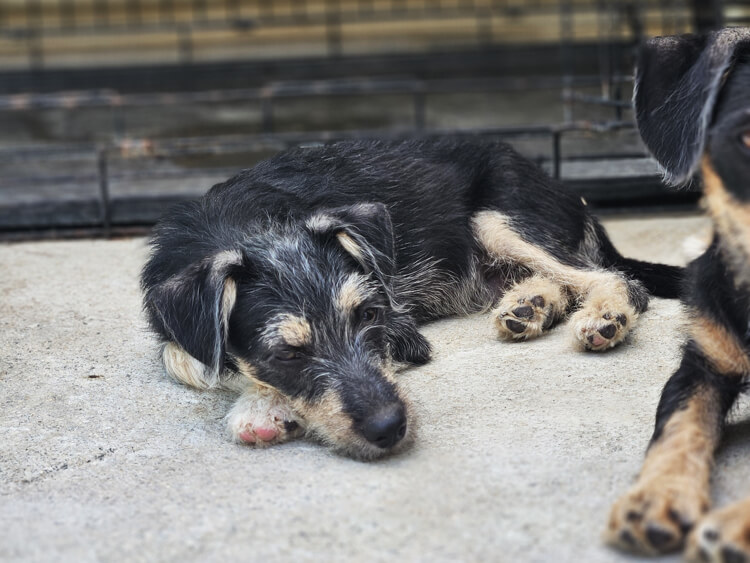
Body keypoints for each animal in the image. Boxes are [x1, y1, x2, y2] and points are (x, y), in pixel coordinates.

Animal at [140, 139, 680, 460]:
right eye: (287, 354)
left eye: (369, 315)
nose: (389, 428)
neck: (246, 224)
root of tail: (561, 185)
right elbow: (188, 360)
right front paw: (263, 401)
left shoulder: (401, 332)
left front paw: (260, 408)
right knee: (560, 281)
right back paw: (529, 306)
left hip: (496, 218)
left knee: (614, 278)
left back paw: (605, 314)